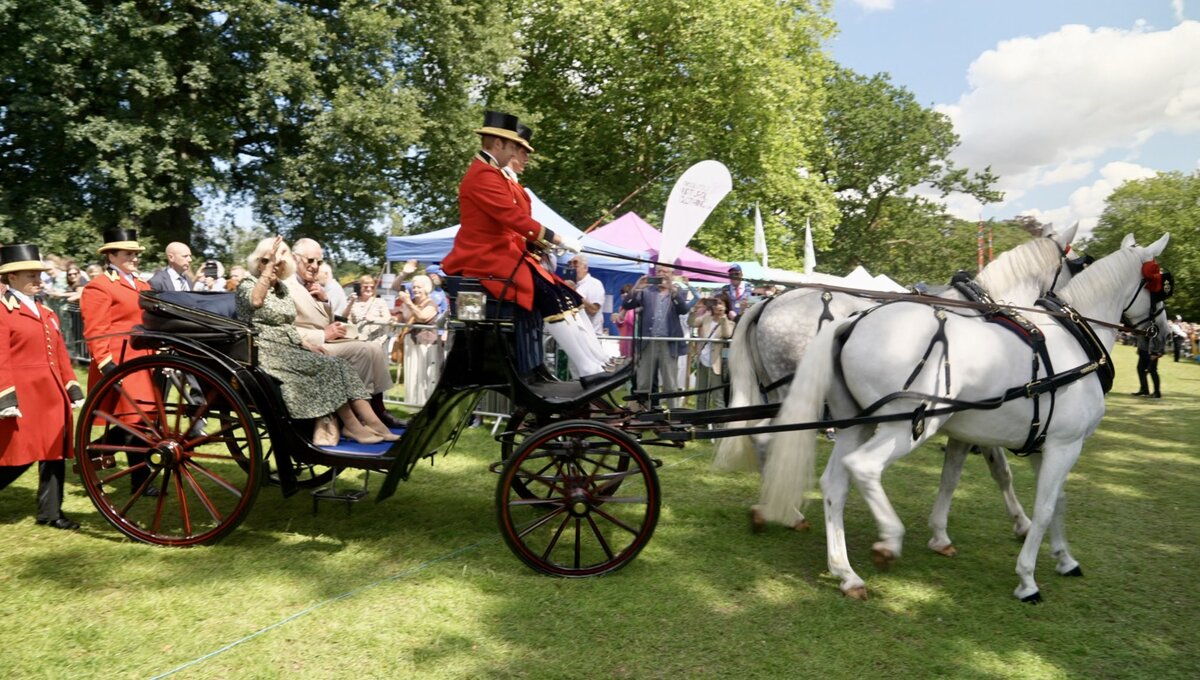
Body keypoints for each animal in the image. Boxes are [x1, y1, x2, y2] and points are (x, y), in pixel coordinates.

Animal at [715, 226, 1084, 556]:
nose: (1065, 312)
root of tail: (766, 303)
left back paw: (774, 509)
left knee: (761, 436)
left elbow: (974, 472)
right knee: (770, 438)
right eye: (1076, 265)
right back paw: (789, 512)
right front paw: (1021, 523)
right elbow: (1000, 471)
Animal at [763, 233, 1166, 602]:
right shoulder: (1064, 445)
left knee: (834, 483)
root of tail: (853, 321)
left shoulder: (1044, 444)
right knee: (862, 467)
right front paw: (1027, 578)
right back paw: (888, 539)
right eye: (1162, 284)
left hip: (856, 425)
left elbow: (1053, 500)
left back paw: (845, 571)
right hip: (906, 427)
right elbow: (1044, 506)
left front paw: (1064, 558)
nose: (1162, 335)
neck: (1074, 344)